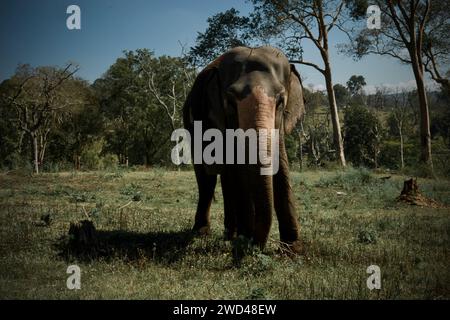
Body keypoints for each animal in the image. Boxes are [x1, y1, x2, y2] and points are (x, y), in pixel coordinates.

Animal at [183, 45, 306, 255]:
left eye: (281, 102)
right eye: (230, 102)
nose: (257, 245)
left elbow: (281, 165)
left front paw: (292, 249)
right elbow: (237, 170)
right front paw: (244, 242)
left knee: (225, 179)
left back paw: (229, 234)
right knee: (207, 179)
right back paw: (203, 233)